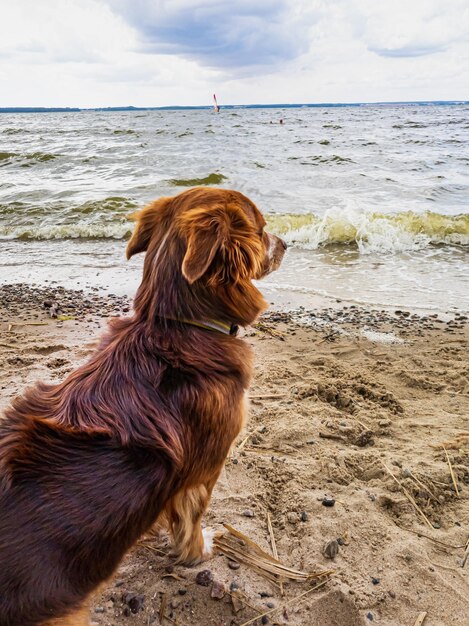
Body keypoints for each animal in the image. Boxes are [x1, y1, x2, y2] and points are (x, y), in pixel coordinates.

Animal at [0, 188, 286, 624]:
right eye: (262, 228)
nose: (287, 243)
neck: (177, 324)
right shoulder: (205, 471)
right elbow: (191, 519)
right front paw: (197, 552)